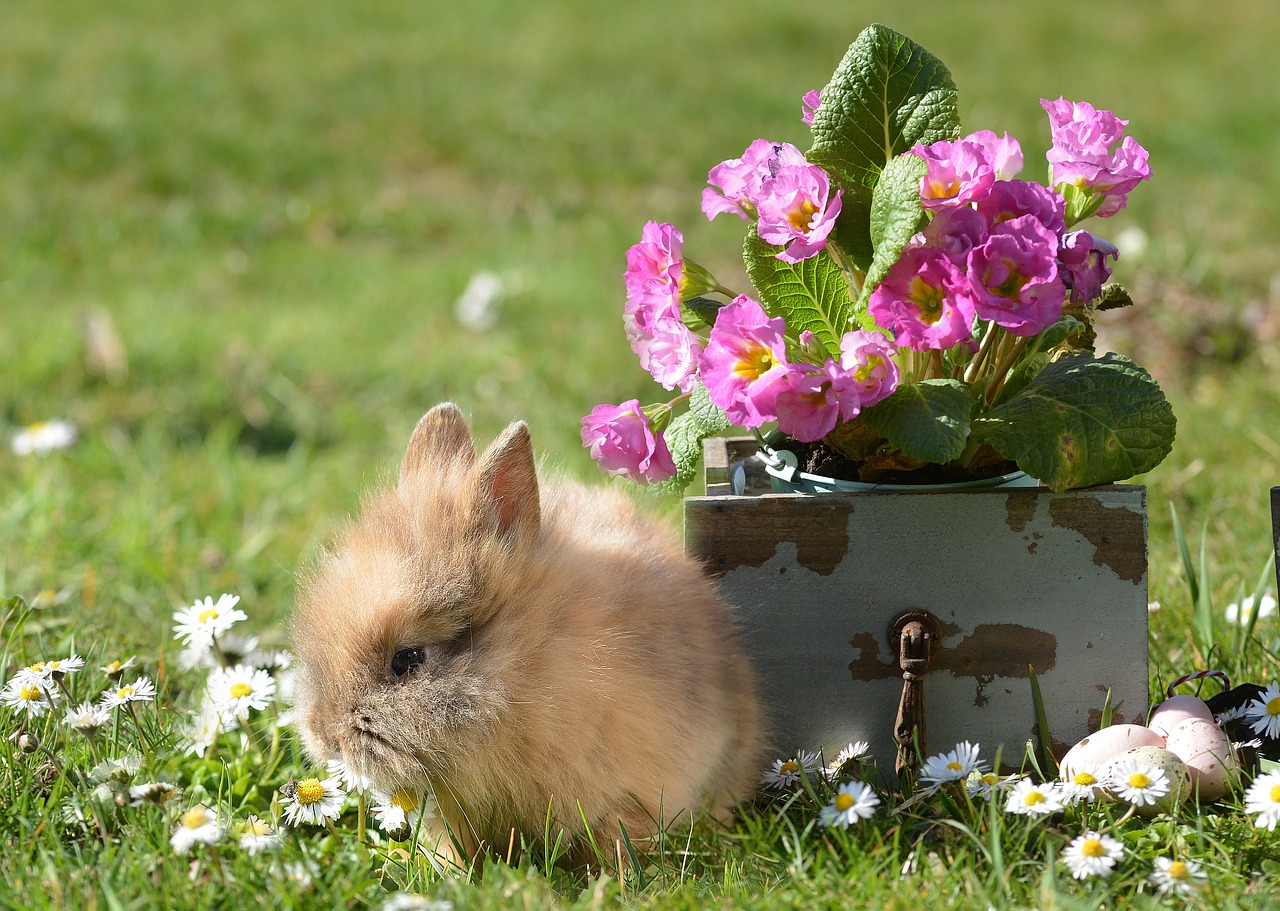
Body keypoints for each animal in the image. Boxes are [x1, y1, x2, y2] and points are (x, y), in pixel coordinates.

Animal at [294, 401, 762, 864]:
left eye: (406, 659)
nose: (324, 736)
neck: (522, 668)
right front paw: (449, 871)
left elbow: (616, 839)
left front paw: (613, 878)